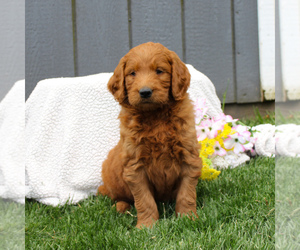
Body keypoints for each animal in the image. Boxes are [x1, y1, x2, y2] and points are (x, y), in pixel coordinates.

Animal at [98, 42, 202, 228]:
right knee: (118, 197)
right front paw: (146, 226)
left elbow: (187, 194)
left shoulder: (189, 156)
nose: (145, 92)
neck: (155, 116)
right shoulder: (135, 165)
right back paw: (120, 206)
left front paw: (188, 219)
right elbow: (144, 200)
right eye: (132, 73)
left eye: (159, 71)